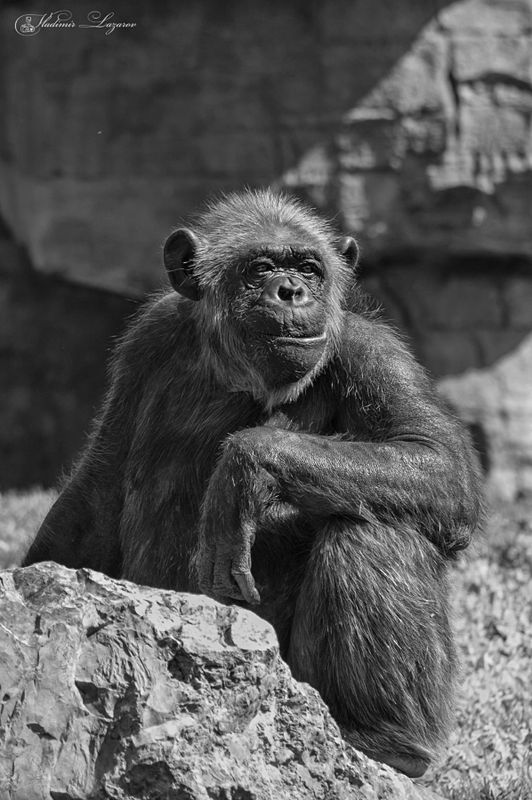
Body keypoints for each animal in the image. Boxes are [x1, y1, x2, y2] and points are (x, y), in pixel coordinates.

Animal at [23, 189, 482, 779]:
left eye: (307, 267)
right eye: (261, 268)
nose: (292, 290)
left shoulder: (371, 351)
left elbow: (437, 458)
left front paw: (247, 465)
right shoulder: (145, 346)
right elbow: (98, 490)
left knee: (375, 530)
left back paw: (384, 740)